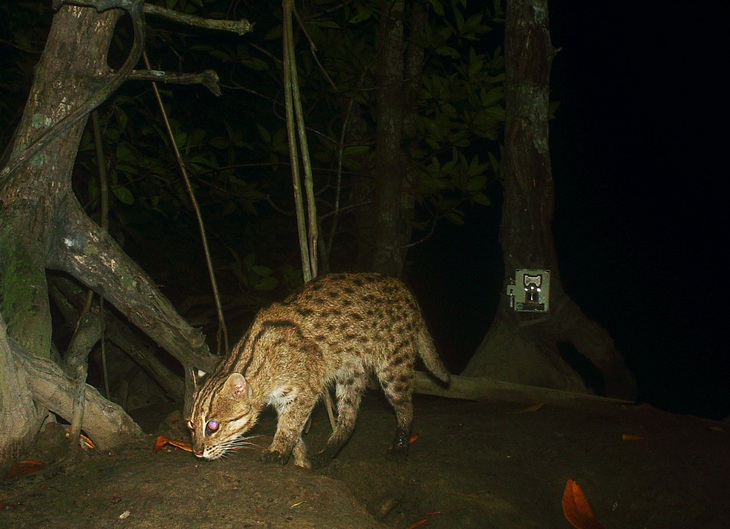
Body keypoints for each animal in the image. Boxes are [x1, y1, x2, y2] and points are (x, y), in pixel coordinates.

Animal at [186, 272, 450, 466]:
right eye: (190, 425)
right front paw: (301, 461)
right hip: (350, 372)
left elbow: (290, 424)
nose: (196, 451)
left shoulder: (306, 387)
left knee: (406, 407)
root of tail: (404, 287)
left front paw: (278, 451)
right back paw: (327, 453)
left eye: (212, 426)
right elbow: (294, 430)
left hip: (393, 365)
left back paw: (400, 446)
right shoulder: (285, 397)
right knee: (350, 418)